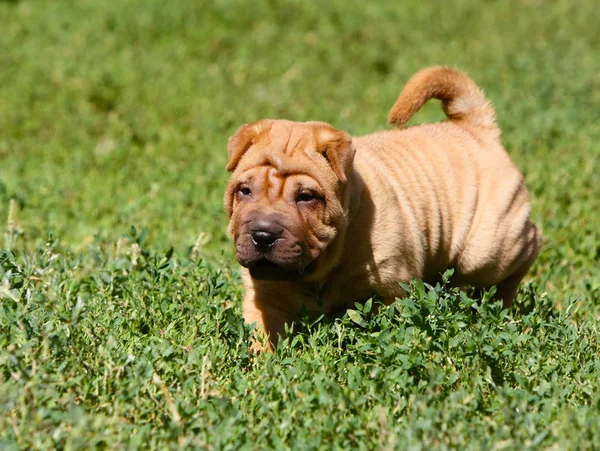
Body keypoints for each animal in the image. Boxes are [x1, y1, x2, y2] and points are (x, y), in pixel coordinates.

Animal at [225, 65, 544, 352]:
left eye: (306, 196)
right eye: (244, 191)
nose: (263, 236)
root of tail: (475, 127)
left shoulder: (392, 287)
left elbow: (388, 328)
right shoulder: (265, 298)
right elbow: (263, 334)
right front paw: (263, 366)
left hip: (485, 250)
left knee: (527, 248)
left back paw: (503, 304)